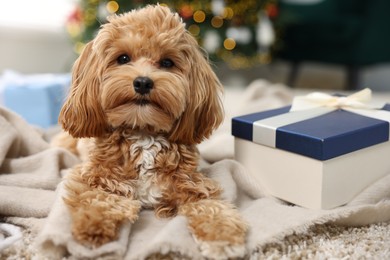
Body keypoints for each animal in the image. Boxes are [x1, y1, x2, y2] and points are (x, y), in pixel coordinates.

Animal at [58, 4, 247, 258]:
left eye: (167, 63)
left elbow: (211, 207)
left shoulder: (193, 184)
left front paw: (222, 237)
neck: (143, 132)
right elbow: (96, 199)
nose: (143, 82)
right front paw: (93, 226)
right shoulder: (94, 177)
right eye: (123, 58)